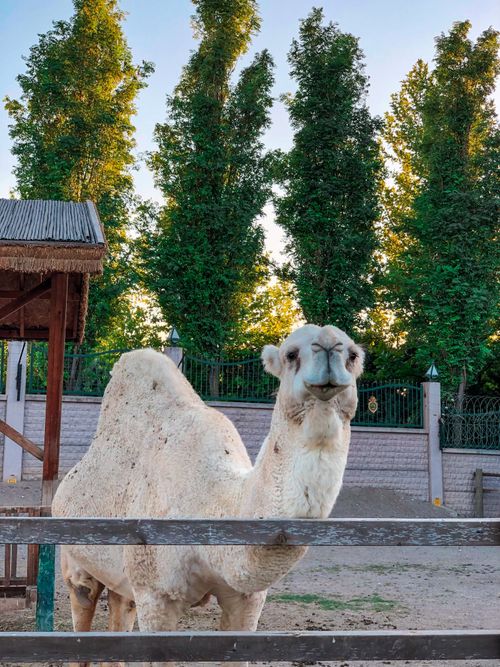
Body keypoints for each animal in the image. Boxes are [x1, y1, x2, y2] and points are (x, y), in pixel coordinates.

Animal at [52, 323, 364, 664]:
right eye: (291, 354)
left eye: (353, 355)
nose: (328, 348)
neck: (214, 500)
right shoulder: (155, 594)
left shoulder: (247, 598)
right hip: (75, 559)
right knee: (83, 602)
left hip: (123, 579)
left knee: (120, 609)